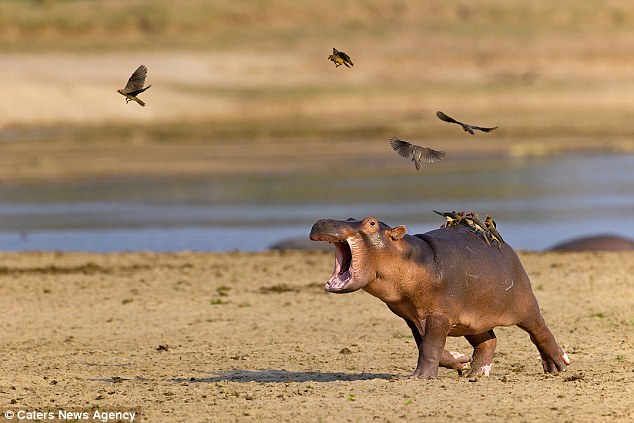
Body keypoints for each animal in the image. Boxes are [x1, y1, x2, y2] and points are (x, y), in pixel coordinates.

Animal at [308, 217, 572, 380]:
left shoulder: (438, 315)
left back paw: (558, 365)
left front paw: (419, 378)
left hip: (525, 305)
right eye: (350, 216)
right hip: (472, 320)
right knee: (488, 341)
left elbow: (429, 347)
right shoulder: (412, 317)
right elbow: (426, 345)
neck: (406, 255)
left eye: (371, 223)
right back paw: (476, 374)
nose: (324, 221)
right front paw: (460, 361)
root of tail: (506, 246)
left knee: (540, 330)